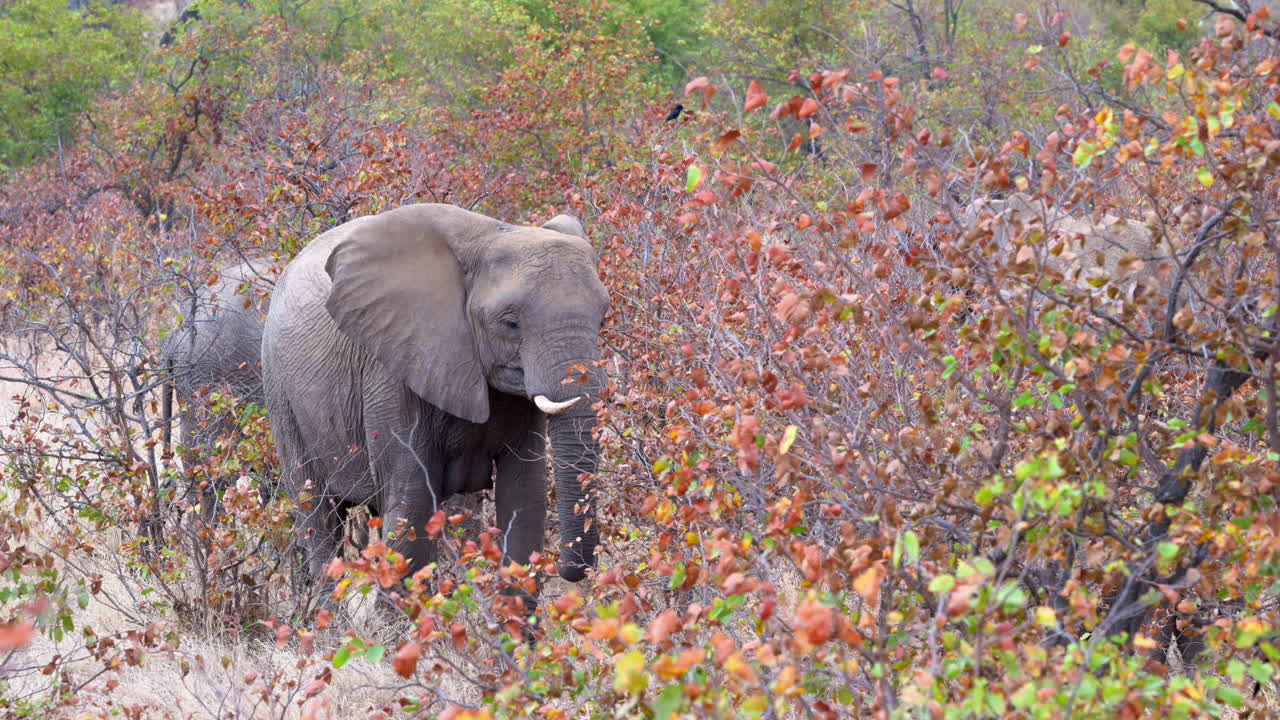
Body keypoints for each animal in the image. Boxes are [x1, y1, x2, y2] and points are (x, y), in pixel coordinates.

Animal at [261, 203, 608, 591]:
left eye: (603, 318)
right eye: (511, 323)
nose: (571, 571)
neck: (491, 236)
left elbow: (524, 498)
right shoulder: (394, 370)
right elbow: (411, 509)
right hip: (280, 393)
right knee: (318, 515)